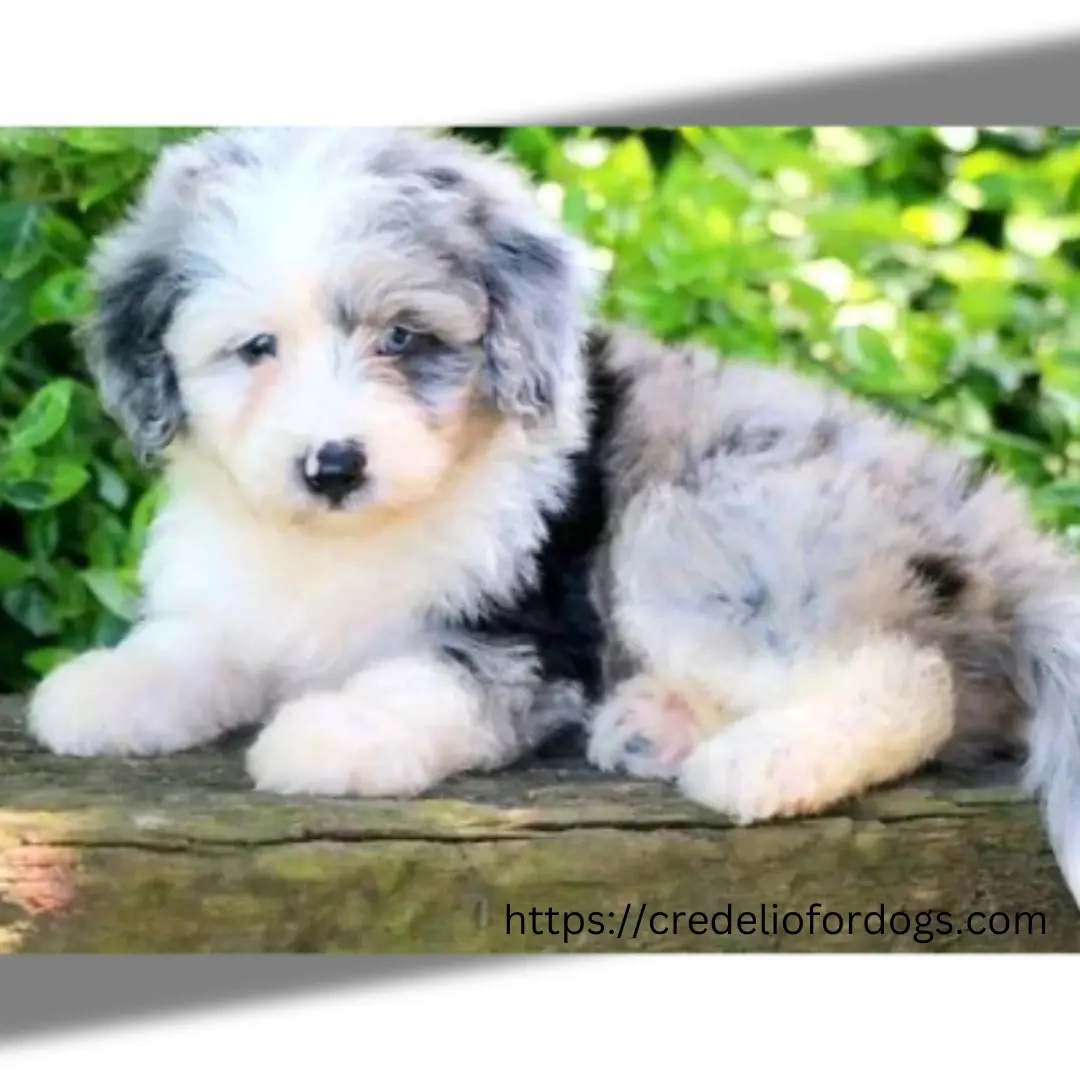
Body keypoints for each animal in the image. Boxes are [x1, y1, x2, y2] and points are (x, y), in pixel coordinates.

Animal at [21, 124, 1080, 911]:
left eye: (402, 339)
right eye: (256, 348)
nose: (332, 465)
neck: (350, 541)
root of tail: (996, 530)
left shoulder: (533, 637)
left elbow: (426, 680)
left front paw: (335, 734)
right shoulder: (240, 602)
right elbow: (191, 646)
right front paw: (101, 691)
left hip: (711, 525)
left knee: (908, 678)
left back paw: (758, 762)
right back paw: (659, 725)